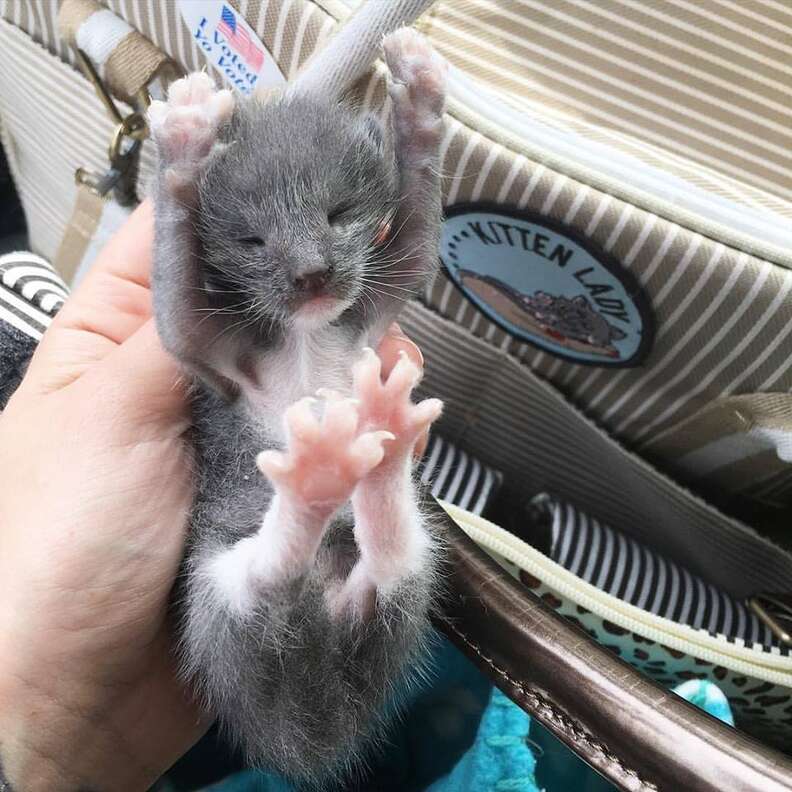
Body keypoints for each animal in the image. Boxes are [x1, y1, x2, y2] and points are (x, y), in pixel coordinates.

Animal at [147, 27, 446, 784]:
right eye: (252, 239)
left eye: (339, 213)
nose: (312, 274)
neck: (307, 333)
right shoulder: (213, 357)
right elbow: (175, 308)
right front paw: (183, 149)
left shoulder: (371, 305)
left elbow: (419, 240)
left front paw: (422, 104)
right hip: (216, 604)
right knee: (262, 578)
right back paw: (320, 473)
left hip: (396, 588)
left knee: (391, 563)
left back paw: (379, 440)